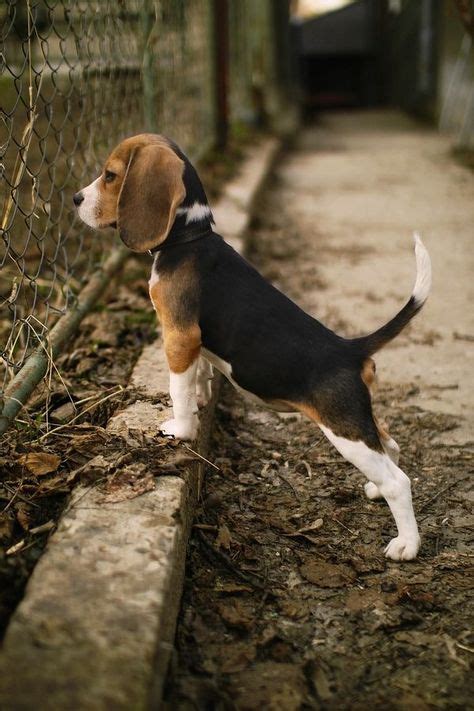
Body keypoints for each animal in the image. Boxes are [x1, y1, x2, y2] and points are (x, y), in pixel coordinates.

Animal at [73, 134, 430, 560]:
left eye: (110, 175)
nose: (75, 199)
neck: (189, 237)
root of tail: (350, 349)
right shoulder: (197, 344)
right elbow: (201, 374)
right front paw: (202, 399)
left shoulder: (179, 335)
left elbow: (178, 389)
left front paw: (181, 429)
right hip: (361, 419)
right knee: (390, 447)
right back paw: (376, 491)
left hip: (344, 430)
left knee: (399, 481)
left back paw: (406, 544)